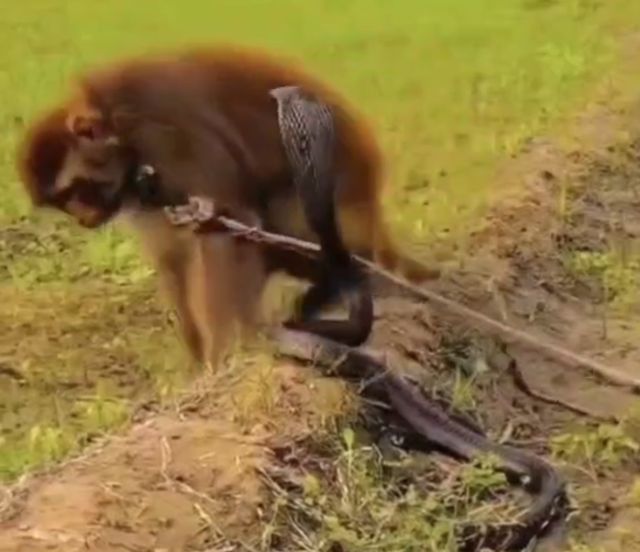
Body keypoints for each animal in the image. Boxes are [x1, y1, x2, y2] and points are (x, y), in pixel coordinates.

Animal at [17, 45, 439, 363]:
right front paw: (199, 362)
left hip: (340, 201)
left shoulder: (168, 137)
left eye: (78, 191)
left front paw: (224, 356)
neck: (120, 130)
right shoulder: (140, 189)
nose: (84, 218)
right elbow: (172, 257)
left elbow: (229, 224)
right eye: (65, 202)